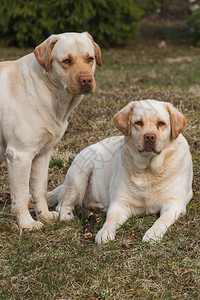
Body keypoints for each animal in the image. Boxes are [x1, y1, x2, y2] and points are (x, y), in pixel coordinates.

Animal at [0, 31, 101, 230]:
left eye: (90, 59)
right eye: (67, 61)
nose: (86, 80)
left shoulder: (42, 154)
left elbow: (39, 189)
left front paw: (44, 216)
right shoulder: (20, 155)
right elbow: (21, 194)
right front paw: (27, 224)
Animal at [46, 99, 192, 243]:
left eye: (161, 123)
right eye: (138, 123)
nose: (149, 137)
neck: (148, 170)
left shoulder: (175, 204)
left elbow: (162, 220)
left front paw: (153, 233)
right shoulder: (120, 204)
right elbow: (111, 219)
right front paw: (104, 232)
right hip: (78, 175)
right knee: (62, 204)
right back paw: (66, 215)